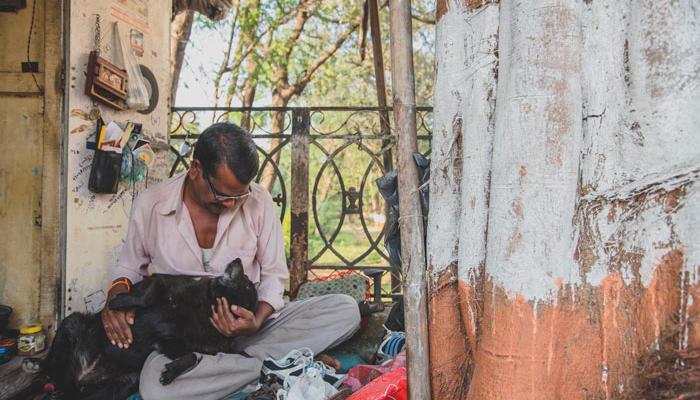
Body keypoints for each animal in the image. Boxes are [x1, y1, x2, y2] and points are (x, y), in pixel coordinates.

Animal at [42, 258, 258, 398]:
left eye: (247, 284)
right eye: (246, 278)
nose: (238, 259)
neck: (207, 306)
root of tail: (80, 378)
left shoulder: (168, 344)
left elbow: (192, 355)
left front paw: (170, 372)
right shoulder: (158, 281)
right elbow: (148, 296)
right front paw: (118, 302)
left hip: (126, 382)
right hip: (71, 324)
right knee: (52, 373)